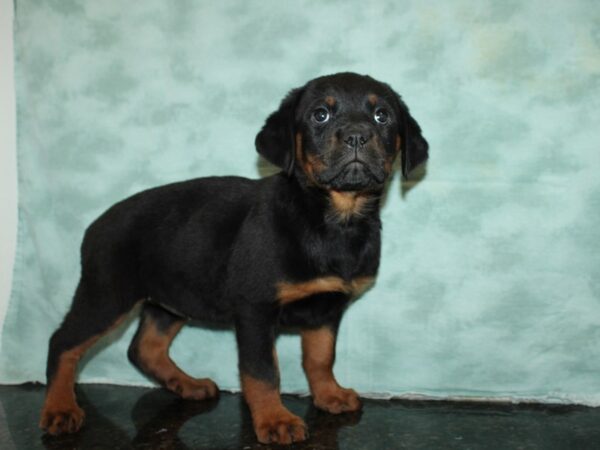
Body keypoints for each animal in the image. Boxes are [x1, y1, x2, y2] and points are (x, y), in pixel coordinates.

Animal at [39, 73, 428, 442]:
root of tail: (95, 226)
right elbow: (262, 371)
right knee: (63, 342)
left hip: (171, 298)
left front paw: (328, 395)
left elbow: (320, 358)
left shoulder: (326, 308)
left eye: (382, 116)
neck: (334, 219)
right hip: (107, 293)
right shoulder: (255, 308)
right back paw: (60, 409)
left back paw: (189, 385)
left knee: (144, 348)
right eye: (321, 114)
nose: (358, 136)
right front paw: (275, 420)